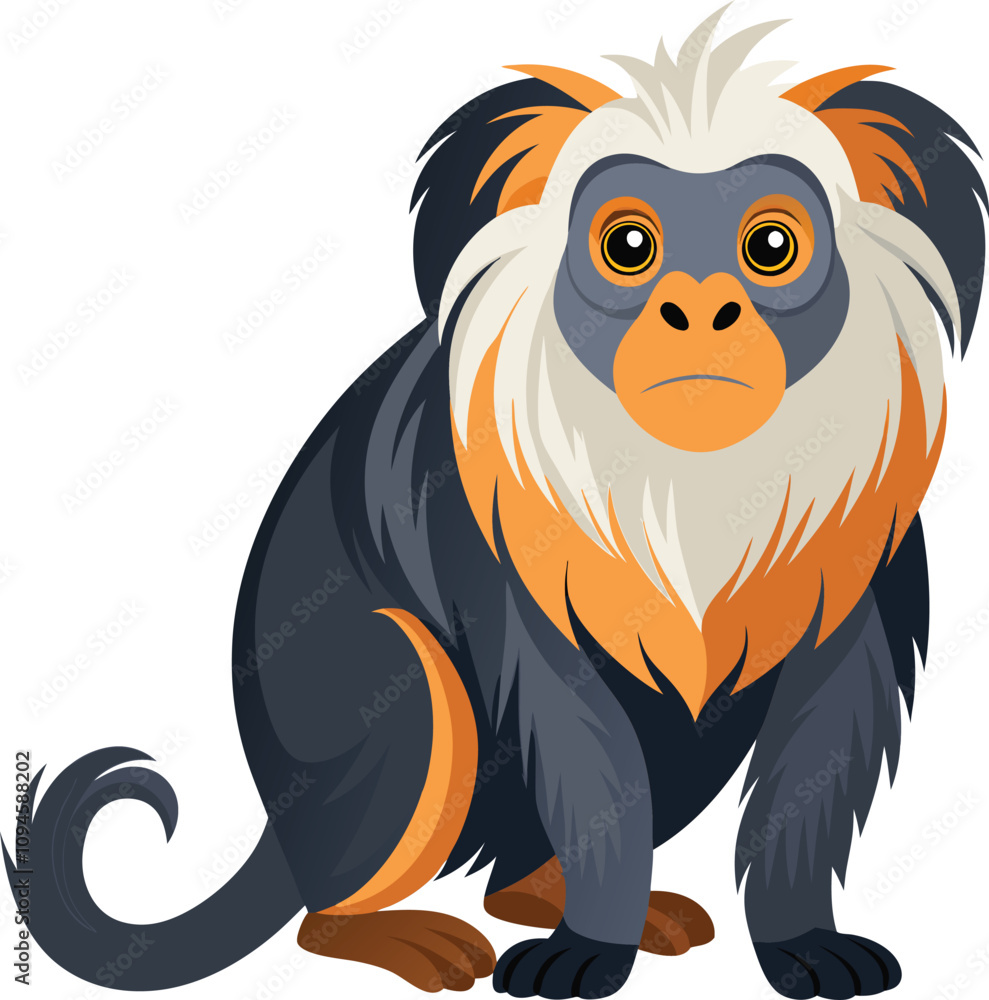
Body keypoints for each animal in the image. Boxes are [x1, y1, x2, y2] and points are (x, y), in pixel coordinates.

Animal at [6, 10, 987, 999]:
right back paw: (390, 930)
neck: (688, 478)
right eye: (629, 247)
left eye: (769, 248)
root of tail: (284, 822)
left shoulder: (859, 557)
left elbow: (818, 748)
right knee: (393, 721)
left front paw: (798, 941)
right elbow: (576, 743)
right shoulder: (503, 551)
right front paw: (590, 946)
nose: (700, 315)